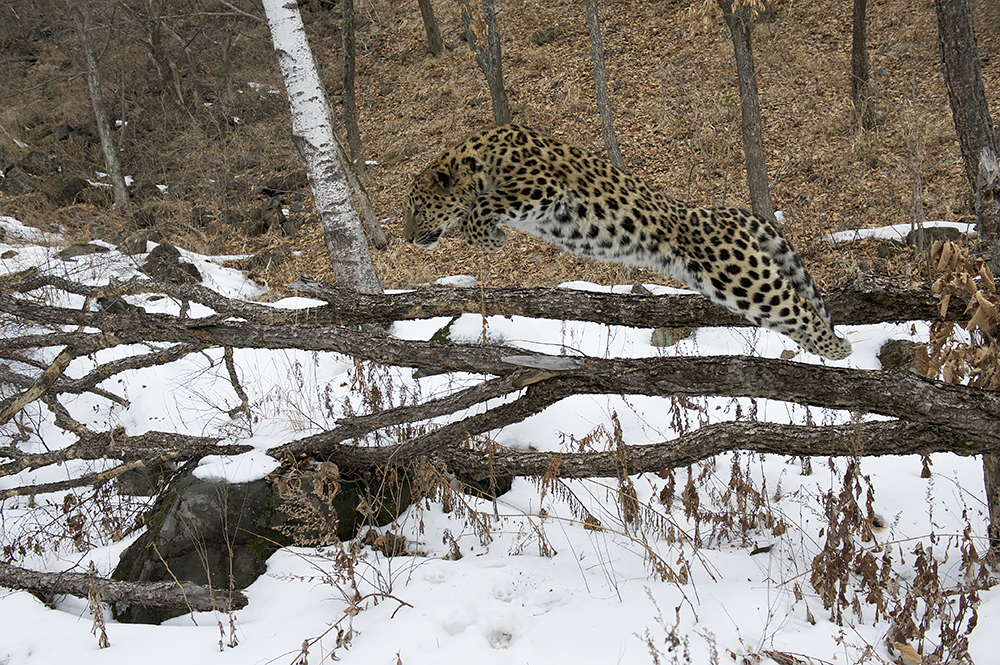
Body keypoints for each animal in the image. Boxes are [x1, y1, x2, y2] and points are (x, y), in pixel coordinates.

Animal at [406, 126, 852, 360]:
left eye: (416, 207)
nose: (407, 238)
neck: (473, 162)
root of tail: (722, 212)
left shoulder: (541, 185)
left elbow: (481, 208)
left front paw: (490, 238)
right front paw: (488, 236)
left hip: (740, 275)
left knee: (797, 307)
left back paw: (838, 349)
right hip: (729, 289)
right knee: (793, 309)